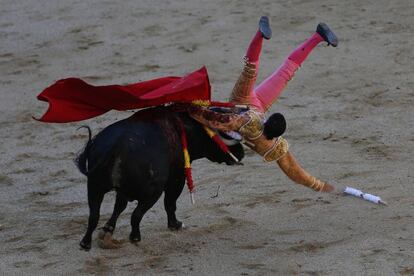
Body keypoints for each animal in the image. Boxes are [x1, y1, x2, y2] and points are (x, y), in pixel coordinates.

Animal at [75, 106, 244, 250]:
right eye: (224, 133)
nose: (241, 153)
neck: (183, 128)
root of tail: (117, 146)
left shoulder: (122, 192)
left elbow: (118, 207)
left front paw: (107, 229)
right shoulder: (177, 178)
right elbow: (170, 203)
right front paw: (175, 224)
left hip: (94, 187)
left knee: (94, 215)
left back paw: (85, 243)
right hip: (152, 192)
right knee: (136, 215)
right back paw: (135, 237)